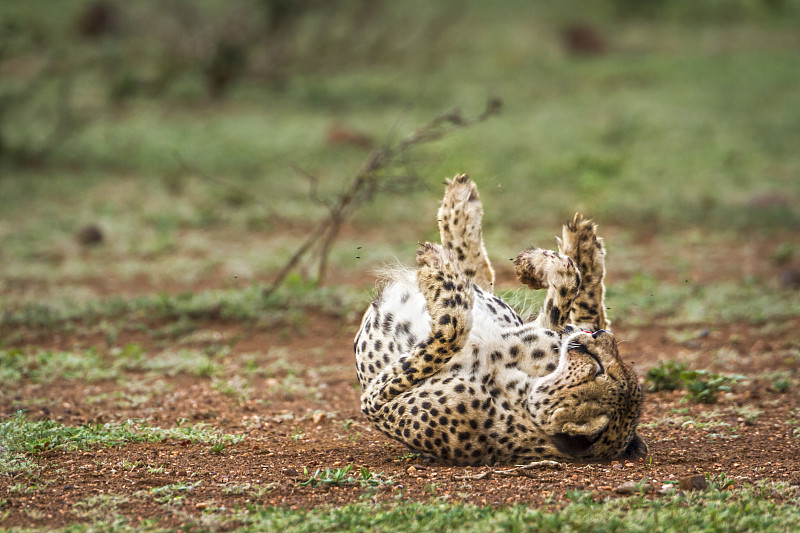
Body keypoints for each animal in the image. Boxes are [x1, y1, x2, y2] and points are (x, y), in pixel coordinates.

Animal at [354, 176, 648, 466]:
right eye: (606, 364)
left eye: (600, 369)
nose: (600, 337)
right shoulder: (542, 330)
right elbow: (567, 277)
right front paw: (534, 265)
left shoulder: (375, 402)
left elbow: (451, 330)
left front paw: (438, 275)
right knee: (481, 278)